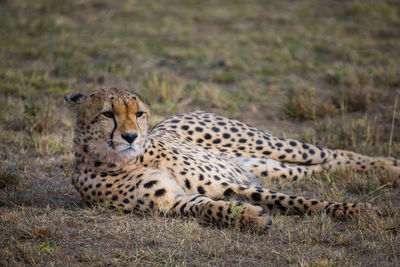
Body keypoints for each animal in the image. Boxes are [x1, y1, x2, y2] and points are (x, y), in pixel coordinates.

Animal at [64, 88, 398, 232]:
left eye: (139, 113)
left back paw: (390, 165)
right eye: (108, 114)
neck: (128, 159)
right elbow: (207, 206)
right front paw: (250, 217)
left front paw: (355, 211)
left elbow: (297, 200)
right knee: (321, 167)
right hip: (268, 166)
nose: (131, 136)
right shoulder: (170, 201)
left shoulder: (226, 184)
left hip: (270, 145)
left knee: (334, 153)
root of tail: (185, 112)